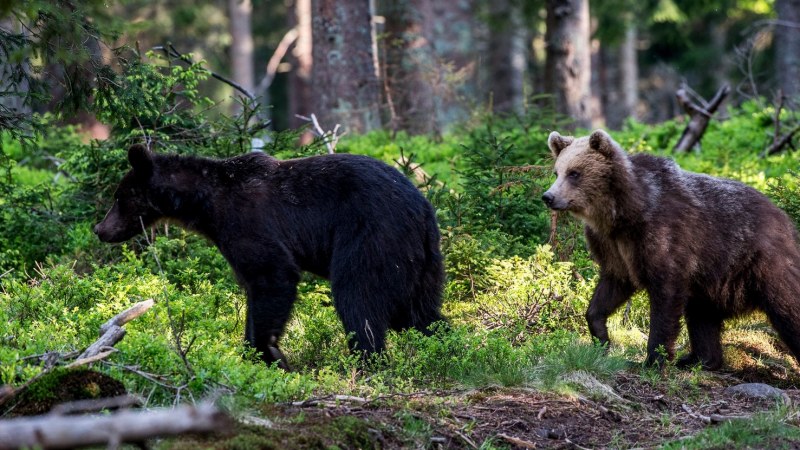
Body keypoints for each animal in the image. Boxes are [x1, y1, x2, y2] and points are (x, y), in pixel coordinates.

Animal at [95, 146, 444, 368]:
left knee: (359, 297)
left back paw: (366, 361)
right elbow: (255, 289)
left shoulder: (247, 224)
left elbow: (272, 275)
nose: (100, 229)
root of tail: (423, 208)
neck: (206, 204)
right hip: (418, 259)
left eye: (119, 197)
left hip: (371, 236)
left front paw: (268, 352)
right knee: (418, 310)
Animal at [540, 129, 800, 370]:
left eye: (574, 173)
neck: (622, 213)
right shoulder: (614, 247)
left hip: (759, 262)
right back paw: (699, 359)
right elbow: (612, 286)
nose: (548, 196)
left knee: (787, 307)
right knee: (701, 316)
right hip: (712, 281)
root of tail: (784, 218)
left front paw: (653, 358)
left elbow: (665, 297)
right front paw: (601, 338)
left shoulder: (663, 236)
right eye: (557, 172)